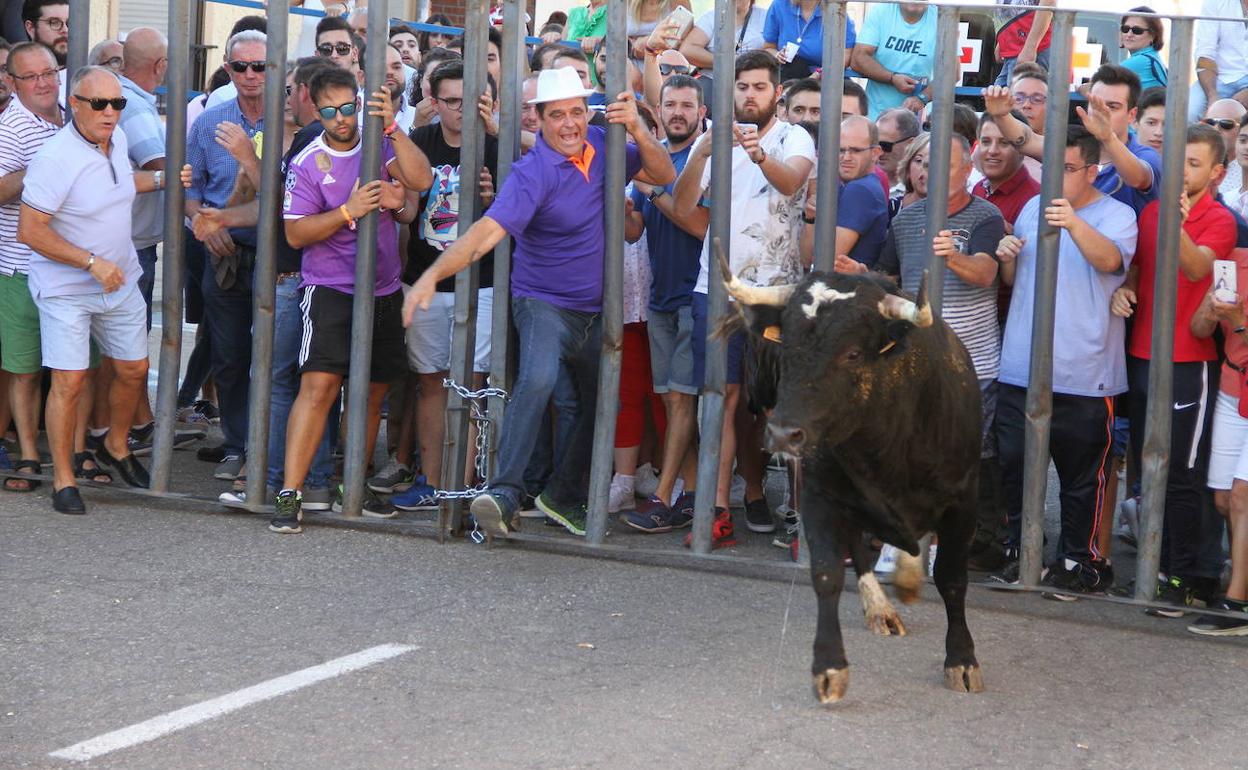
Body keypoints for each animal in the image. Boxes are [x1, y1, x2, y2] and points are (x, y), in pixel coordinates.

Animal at [723, 245, 983, 703]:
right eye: (787, 347)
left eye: (853, 354)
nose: (783, 433)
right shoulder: (820, 496)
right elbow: (828, 572)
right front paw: (829, 668)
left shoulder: (964, 501)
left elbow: (953, 578)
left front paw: (962, 660)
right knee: (861, 551)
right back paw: (882, 606)